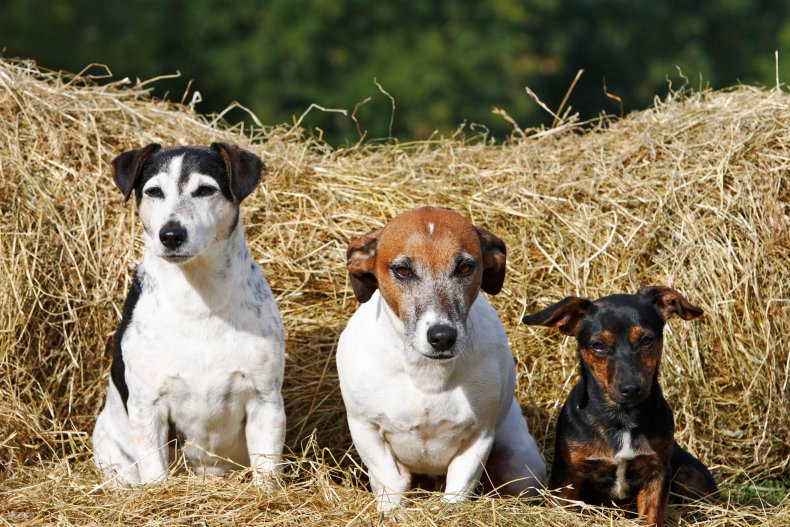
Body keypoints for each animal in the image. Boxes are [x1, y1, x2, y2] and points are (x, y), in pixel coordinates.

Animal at [92, 143, 286, 486]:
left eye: (205, 190)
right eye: (154, 191)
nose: (171, 235)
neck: (197, 298)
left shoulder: (266, 402)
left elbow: (266, 470)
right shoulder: (148, 406)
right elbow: (155, 470)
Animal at [338, 207, 548, 512]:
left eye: (465, 267)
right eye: (403, 270)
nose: (442, 336)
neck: (426, 374)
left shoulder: (479, 436)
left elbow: (458, 488)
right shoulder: (365, 429)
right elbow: (392, 481)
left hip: (521, 464)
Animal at [524, 288, 716, 527]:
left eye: (646, 340)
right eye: (598, 345)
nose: (631, 388)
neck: (621, 417)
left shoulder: (657, 473)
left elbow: (653, 516)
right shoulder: (566, 477)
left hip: (695, 476)